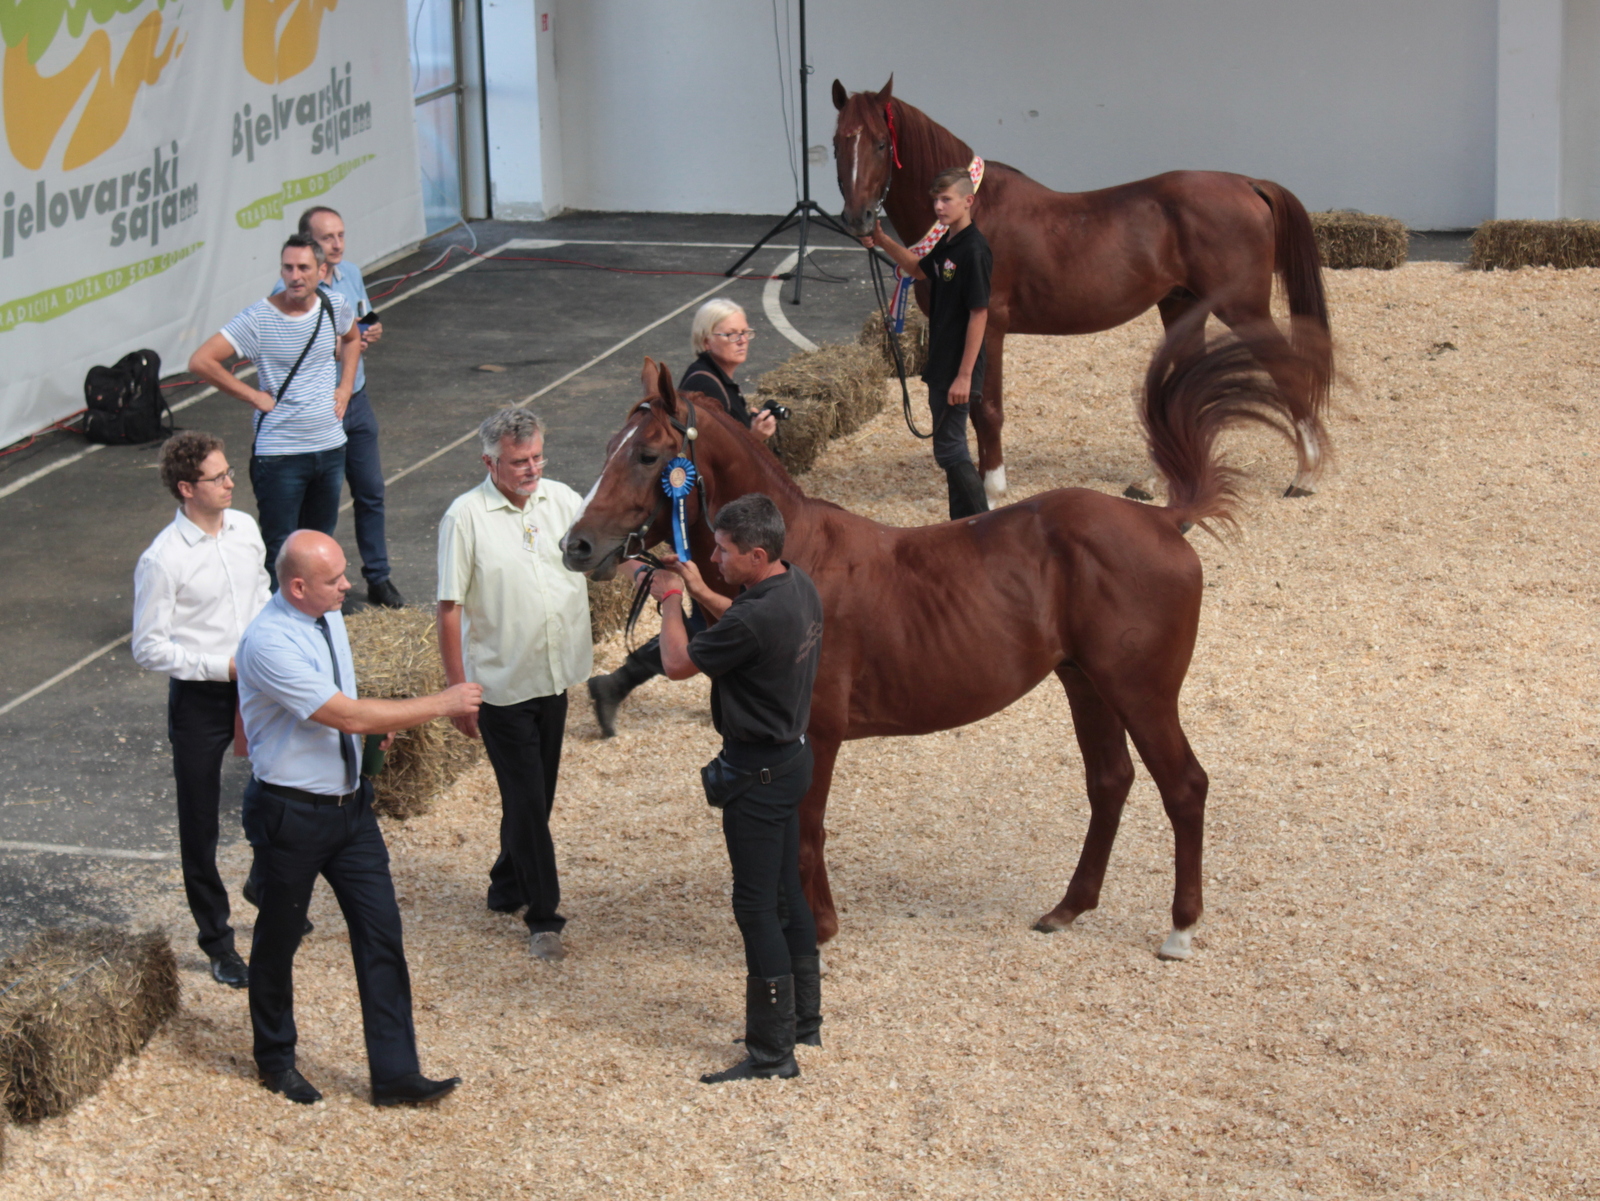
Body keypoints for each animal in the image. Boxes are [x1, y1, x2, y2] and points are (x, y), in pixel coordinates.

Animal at [563, 311, 1324, 965]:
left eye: (650, 455)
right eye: (605, 450)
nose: (578, 544)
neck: (789, 558)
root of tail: (1162, 519)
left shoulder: (816, 733)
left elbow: (807, 828)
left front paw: (821, 927)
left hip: (1141, 691)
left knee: (1185, 786)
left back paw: (1179, 929)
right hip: (1085, 682)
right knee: (1110, 781)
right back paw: (1067, 908)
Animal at [832, 75, 1331, 505]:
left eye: (881, 143)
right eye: (837, 142)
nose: (859, 220)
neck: (972, 216)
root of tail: (1249, 183)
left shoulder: (988, 325)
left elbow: (986, 407)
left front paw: (991, 490)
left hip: (1241, 307)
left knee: (1287, 368)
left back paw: (1305, 475)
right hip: (1182, 305)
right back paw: (1155, 480)